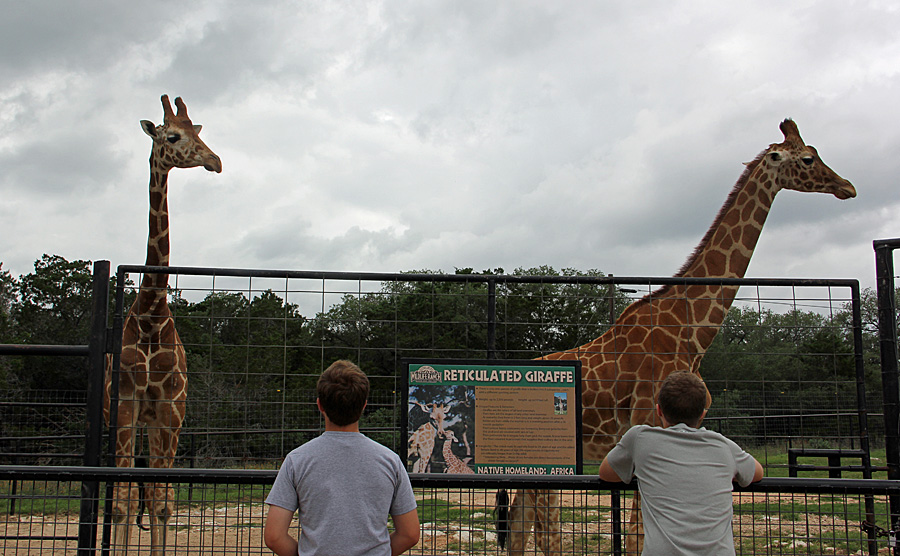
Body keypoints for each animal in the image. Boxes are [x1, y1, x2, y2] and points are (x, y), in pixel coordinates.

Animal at [103, 94, 222, 556]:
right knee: (122, 493)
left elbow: (163, 502)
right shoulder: (126, 404)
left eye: (198, 131)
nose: (215, 160)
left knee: (150, 491)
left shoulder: (170, 409)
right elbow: (121, 502)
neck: (152, 313)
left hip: (154, 421)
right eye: (171, 136)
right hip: (123, 416)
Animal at [501, 119, 856, 555]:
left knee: (520, 530)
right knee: (546, 534)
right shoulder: (648, 432)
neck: (690, 329)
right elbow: (636, 536)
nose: (847, 186)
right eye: (807, 159)